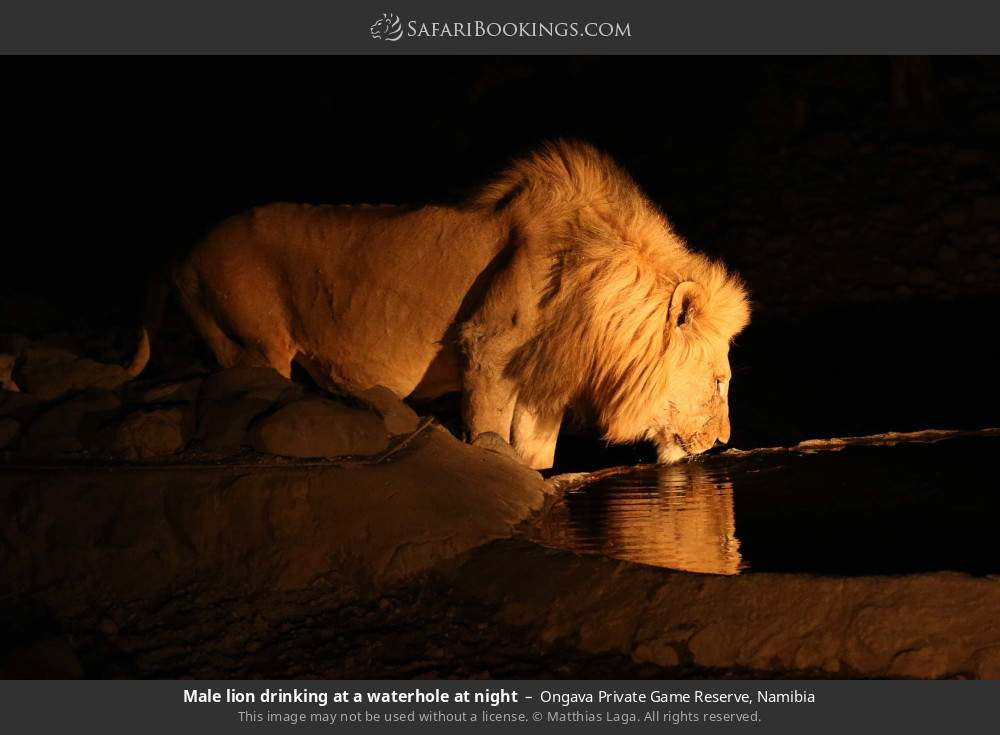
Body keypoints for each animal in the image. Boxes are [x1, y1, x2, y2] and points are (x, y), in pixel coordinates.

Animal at [127, 141, 752, 468]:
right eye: (721, 381)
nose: (723, 442)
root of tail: (178, 252)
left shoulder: (541, 378)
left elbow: (536, 457)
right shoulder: (486, 349)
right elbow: (490, 436)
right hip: (253, 345)